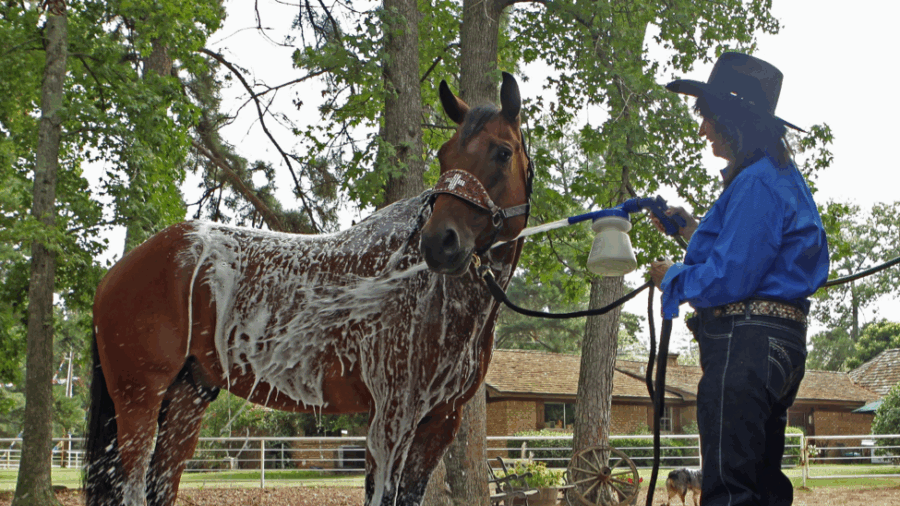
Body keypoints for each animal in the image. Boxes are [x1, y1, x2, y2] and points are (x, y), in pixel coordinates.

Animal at [84, 71, 533, 506]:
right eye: (444, 155)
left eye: (502, 152)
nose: (440, 242)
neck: (428, 291)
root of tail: (115, 273)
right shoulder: (392, 419)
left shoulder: (438, 423)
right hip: (139, 401)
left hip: (187, 398)